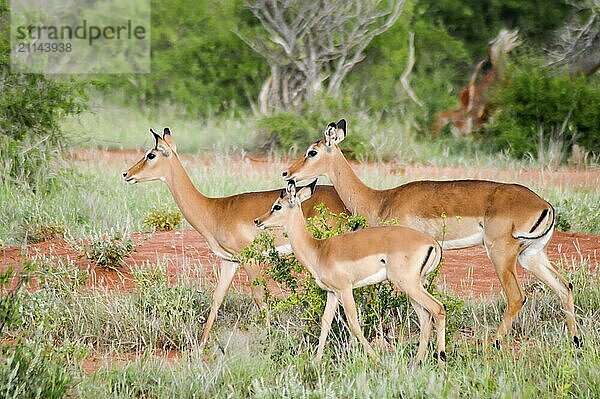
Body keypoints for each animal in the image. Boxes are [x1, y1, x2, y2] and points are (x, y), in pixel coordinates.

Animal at [122, 128, 346, 344]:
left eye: (151, 155)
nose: (126, 174)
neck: (213, 210)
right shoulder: (229, 261)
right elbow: (217, 298)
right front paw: (200, 346)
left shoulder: (251, 259)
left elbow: (260, 299)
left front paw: (270, 340)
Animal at [253, 180, 446, 366]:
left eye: (277, 206)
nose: (257, 220)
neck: (319, 250)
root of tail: (432, 243)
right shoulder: (332, 293)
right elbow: (325, 323)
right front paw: (316, 361)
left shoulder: (345, 290)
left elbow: (354, 324)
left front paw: (376, 360)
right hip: (413, 287)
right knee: (425, 318)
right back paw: (418, 361)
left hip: (408, 285)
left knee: (438, 309)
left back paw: (441, 361)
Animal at [284, 120, 580, 348]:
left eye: (312, 151)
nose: (287, 173)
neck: (381, 200)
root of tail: (545, 205)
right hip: (531, 256)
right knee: (564, 287)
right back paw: (575, 342)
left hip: (500, 254)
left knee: (517, 297)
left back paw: (492, 344)